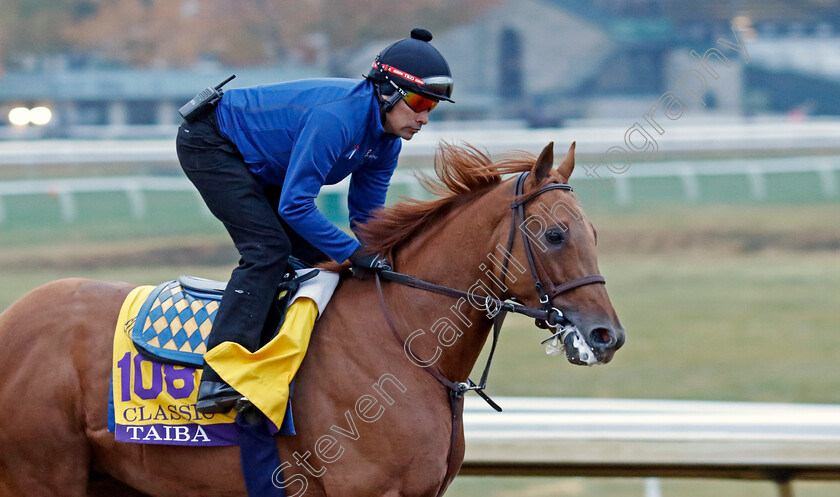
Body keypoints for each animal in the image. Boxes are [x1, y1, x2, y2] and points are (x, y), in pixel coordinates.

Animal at [0, 141, 624, 494]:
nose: (607, 336)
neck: (401, 342)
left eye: (596, 233)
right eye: (555, 234)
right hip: (42, 476)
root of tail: (12, 320)